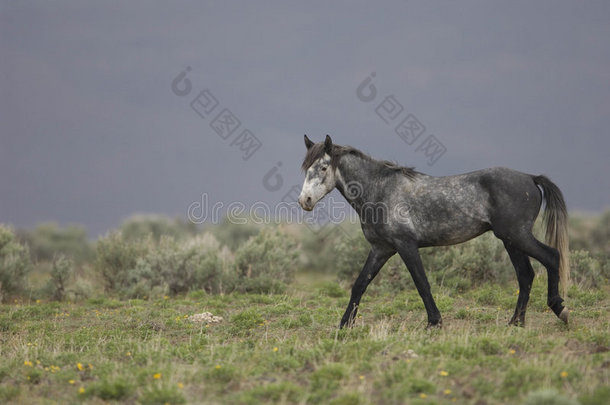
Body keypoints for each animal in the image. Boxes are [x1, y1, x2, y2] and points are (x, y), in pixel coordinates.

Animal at [296, 134, 568, 326]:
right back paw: (516, 322)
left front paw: (434, 322)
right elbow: (360, 284)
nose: (304, 200)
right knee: (526, 275)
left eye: (323, 168)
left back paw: (559, 309)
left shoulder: (406, 245)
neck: (380, 191)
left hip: (517, 235)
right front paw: (344, 325)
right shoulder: (381, 249)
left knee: (551, 257)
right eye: (306, 168)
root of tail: (530, 178)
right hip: (510, 240)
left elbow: (421, 282)